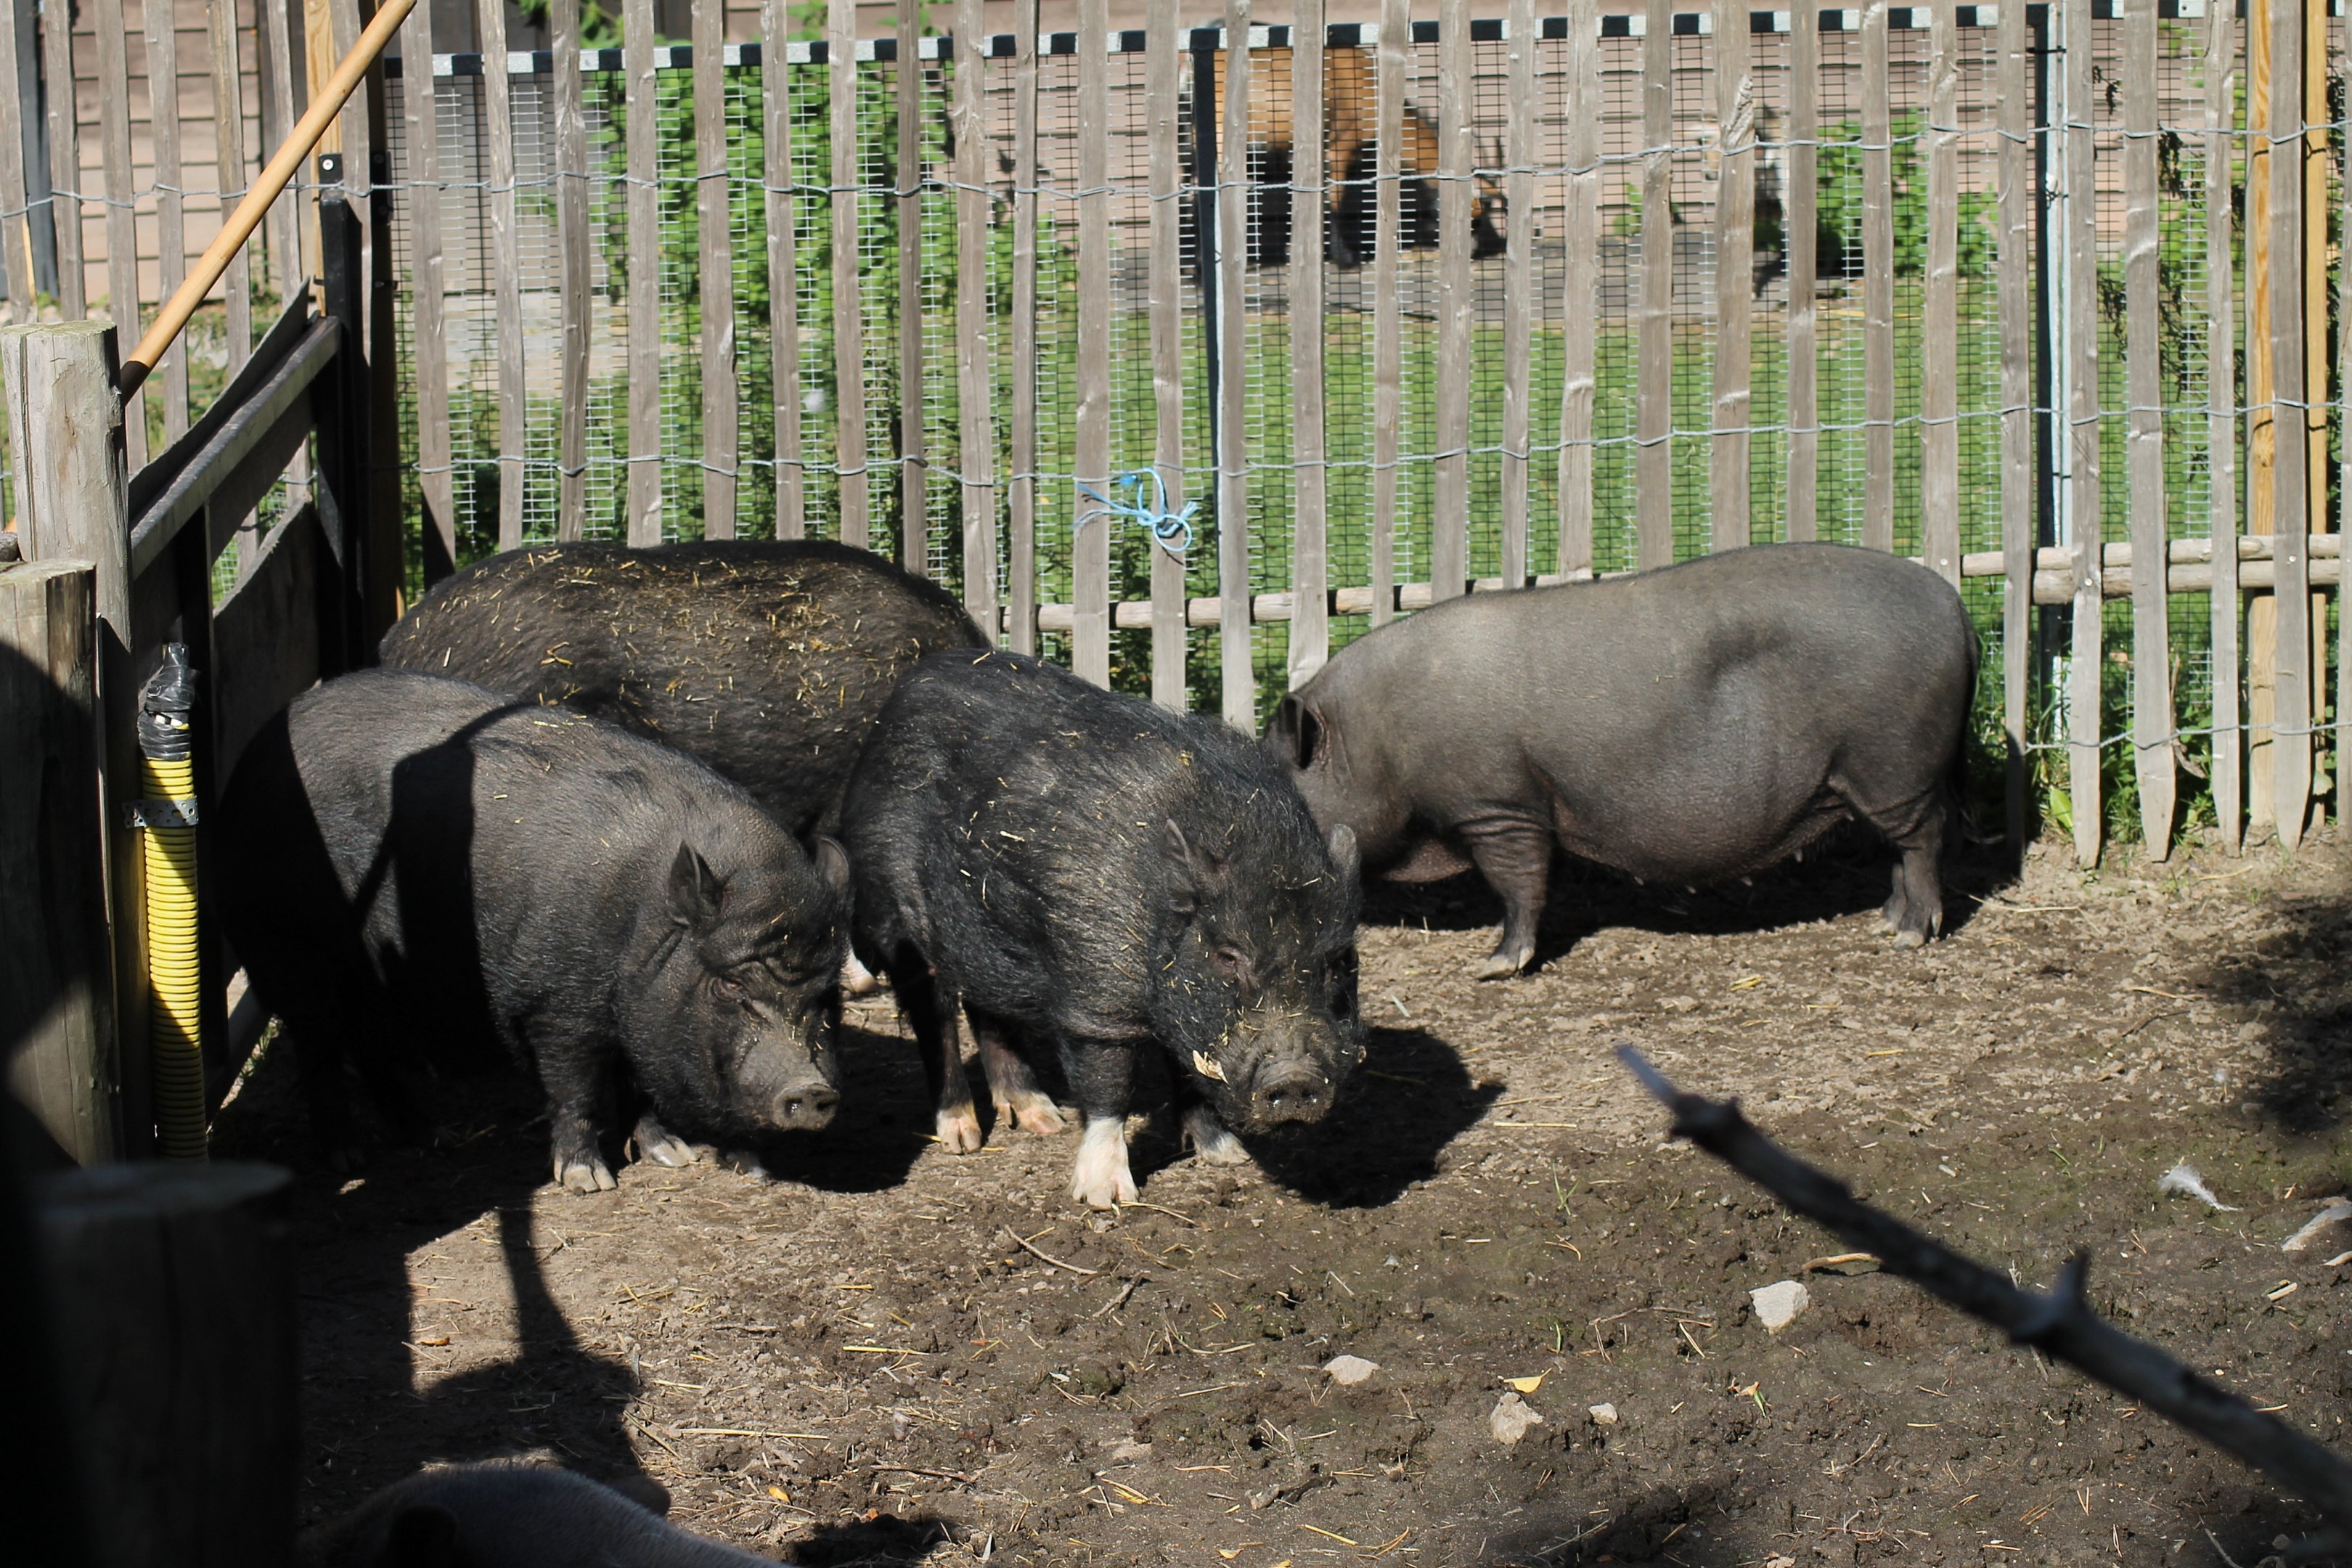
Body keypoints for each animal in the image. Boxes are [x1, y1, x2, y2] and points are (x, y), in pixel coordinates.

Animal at [216, 670, 849, 1191]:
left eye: (828, 995)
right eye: (731, 986)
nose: (813, 1089)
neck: (640, 928)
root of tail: (256, 752)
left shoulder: (633, 1017)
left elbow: (637, 1083)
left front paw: (674, 1154)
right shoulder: (555, 1003)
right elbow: (576, 1087)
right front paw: (588, 1181)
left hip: (372, 971)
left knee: (369, 1037)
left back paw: (434, 1137)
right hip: (282, 942)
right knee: (319, 1038)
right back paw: (349, 1157)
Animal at [839, 650, 1364, 1207]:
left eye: (1340, 962)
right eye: (1228, 955)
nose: (1296, 1076)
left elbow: (1189, 1067)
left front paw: (1226, 1156)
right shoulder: (1096, 987)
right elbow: (1109, 1082)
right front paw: (1107, 1198)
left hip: (984, 933)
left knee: (987, 1008)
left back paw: (1041, 1119)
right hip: (895, 914)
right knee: (932, 1012)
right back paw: (964, 1139)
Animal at [1265, 543, 1977, 978]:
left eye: (1280, 791)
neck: (1376, 742)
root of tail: (1959, 611)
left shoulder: (1500, 804)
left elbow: (1520, 884)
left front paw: (1495, 966)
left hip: (1895, 766)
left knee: (1927, 838)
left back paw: (1911, 935)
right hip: (1875, 778)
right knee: (1899, 847)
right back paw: (1886, 921)